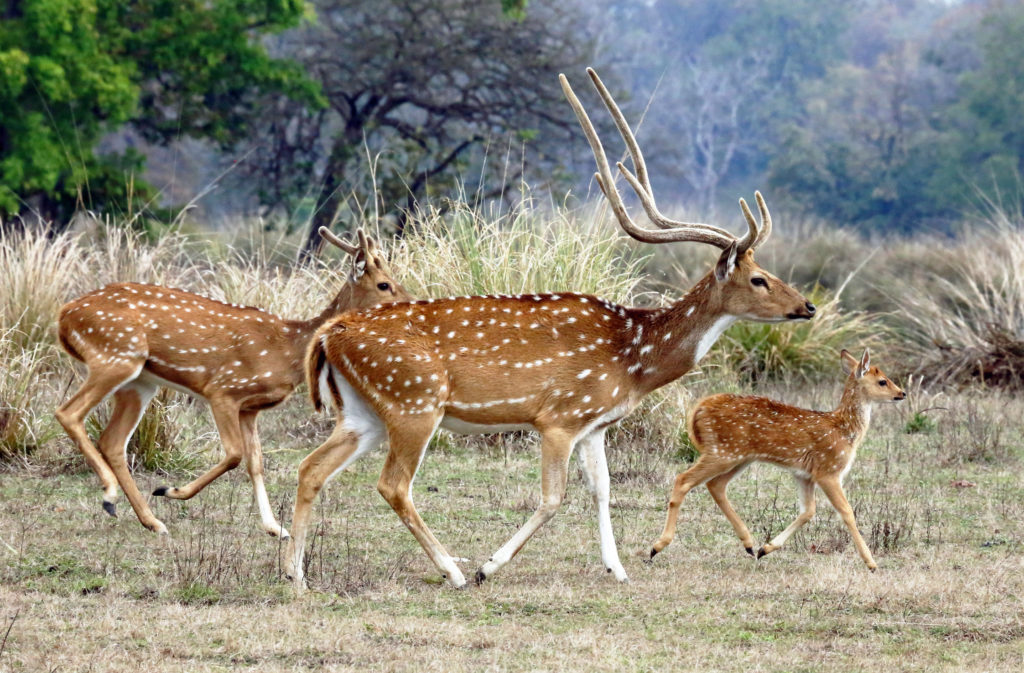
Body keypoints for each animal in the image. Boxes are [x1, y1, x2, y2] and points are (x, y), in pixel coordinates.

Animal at [56, 228, 411, 536]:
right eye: (384, 284)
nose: (409, 305)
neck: (289, 348)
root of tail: (64, 316)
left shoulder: (250, 408)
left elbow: (256, 462)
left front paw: (275, 528)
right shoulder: (223, 390)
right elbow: (234, 454)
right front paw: (170, 490)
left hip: (139, 381)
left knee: (113, 441)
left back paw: (150, 521)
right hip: (116, 355)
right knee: (68, 413)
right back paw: (111, 497)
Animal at [284, 68, 819, 590]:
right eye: (759, 278)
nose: (808, 306)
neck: (634, 359)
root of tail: (329, 335)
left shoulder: (595, 423)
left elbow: (602, 490)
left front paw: (618, 568)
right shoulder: (559, 416)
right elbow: (553, 497)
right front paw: (489, 567)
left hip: (364, 412)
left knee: (310, 468)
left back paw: (295, 572)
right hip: (415, 401)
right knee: (393, 484)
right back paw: (452, 571)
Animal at [651, 348, 909, 569]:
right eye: (882, 381)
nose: (902, 393)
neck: (845, 431)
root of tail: (698, 410)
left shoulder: (804, 474)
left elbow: (808, 511)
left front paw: (766, 548)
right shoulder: (828, 470)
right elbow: (847, 511)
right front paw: (871, 563)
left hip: (739, 457)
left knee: (716, 485)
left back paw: (749, 545)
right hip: (722, 452)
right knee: (683, 480)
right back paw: (656, 547)